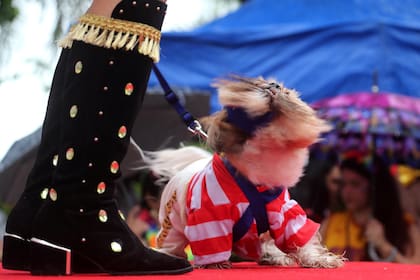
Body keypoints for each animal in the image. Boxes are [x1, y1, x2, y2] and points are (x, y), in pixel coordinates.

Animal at [141, 75, 344, 268]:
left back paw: (272, 255)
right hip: (172, 223)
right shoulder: (210, 217)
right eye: (257, 86)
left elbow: (299, 236)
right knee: (171, 242)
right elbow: (212, 242)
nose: (274, 85)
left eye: (286, 91)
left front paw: (317, 259)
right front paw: (214, 264)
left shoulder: (284, 211)